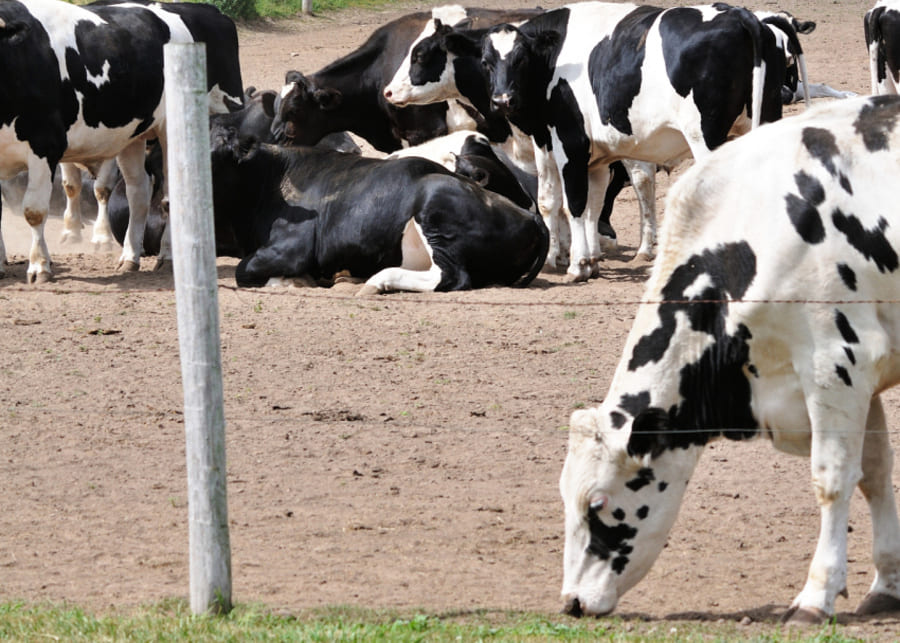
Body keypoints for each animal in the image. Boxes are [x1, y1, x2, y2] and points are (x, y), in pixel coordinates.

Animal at [0, 0, 243, 283]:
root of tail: (205, 10)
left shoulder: (45, 145)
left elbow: (35, 211)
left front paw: (40, 266)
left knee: (172, 191)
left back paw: (168, 255)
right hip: (131, 137)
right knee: (138, 192)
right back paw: (130, 256)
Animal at [209, 126, 548, 292]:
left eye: (216, 154)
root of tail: (531, 215)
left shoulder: (294, 247)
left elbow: (243, 270)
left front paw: (291, 280)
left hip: (436, 208)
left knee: (452, 277)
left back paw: (376, 281)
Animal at [481, 2, 787, 281]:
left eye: (521, 59)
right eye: (486, 62)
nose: (502, 100)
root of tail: (737, 13)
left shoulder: (570, 144)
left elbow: (574, 203)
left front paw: (576, 265)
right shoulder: (590, 156)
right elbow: (590, 205)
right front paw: (590, 262)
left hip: (707, 139)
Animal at [559, 95, 900, 624]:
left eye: (596, 504)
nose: (571, 603)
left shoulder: (835, 363)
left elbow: (833, 479)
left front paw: (816, 595)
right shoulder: (859, 377)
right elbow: (877, 473)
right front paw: (886, 585)